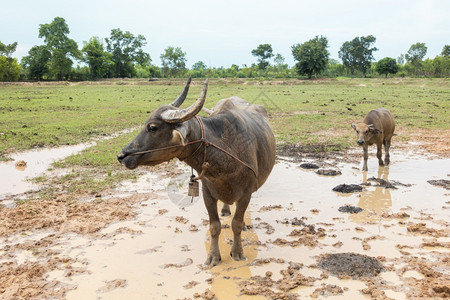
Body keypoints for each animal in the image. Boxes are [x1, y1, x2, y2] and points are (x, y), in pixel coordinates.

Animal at [118, 77, 276, 264]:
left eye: (152, 127)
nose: (122, 155)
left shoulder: (246, 193)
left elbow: (236, 224)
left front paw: (237, 252)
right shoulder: (208, 193)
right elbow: (214, 226)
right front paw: (213, 256)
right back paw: (225, 210)